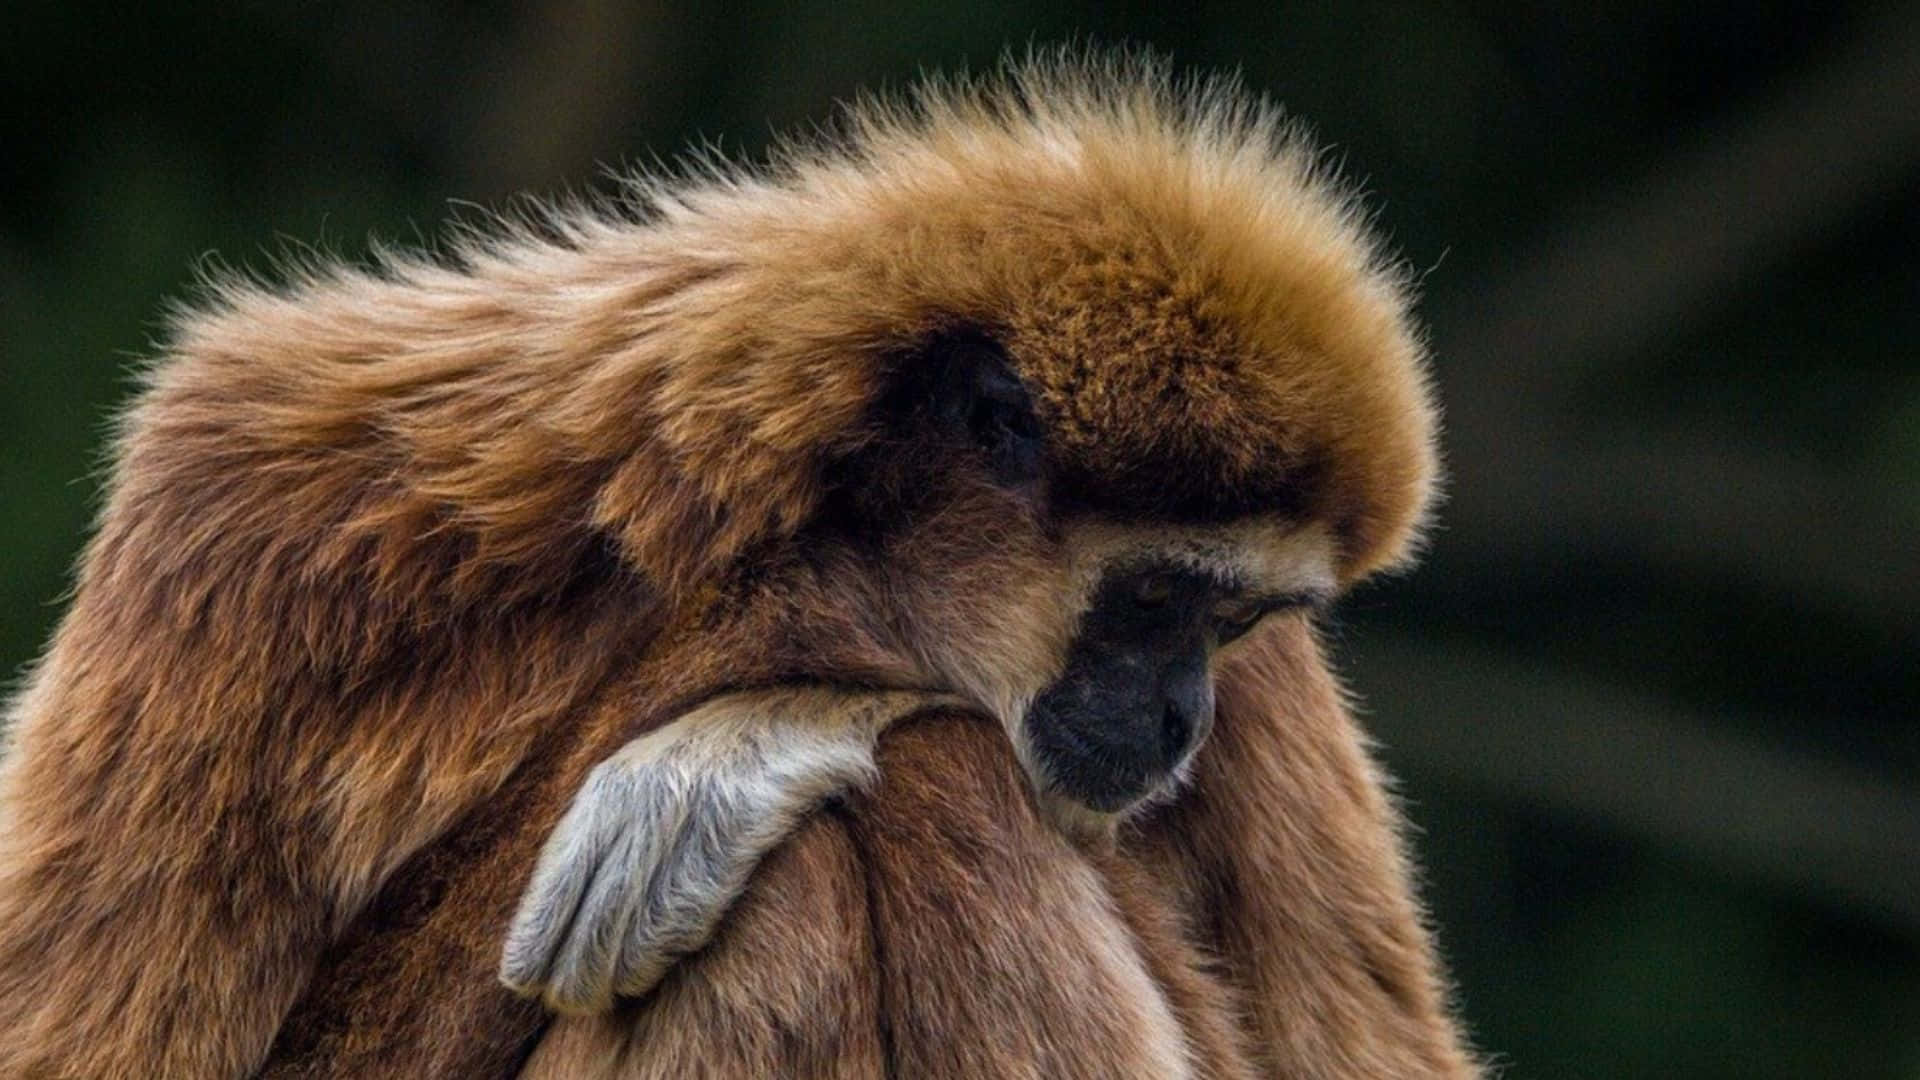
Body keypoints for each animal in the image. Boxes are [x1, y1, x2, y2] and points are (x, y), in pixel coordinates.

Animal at [0, 51, 1478, 1078]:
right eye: (1161, 598)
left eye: (1234, 623)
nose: (1181, 714)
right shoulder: (258, 509)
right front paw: (807, 640)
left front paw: (741, 736)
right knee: (909, 802)